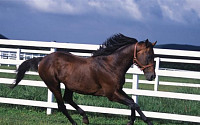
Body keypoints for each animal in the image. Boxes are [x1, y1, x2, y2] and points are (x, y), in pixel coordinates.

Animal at [10, 33, 156, 124]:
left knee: (68, 99)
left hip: (69, 86)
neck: (111, 65)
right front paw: (147, 121)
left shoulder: (118, 90)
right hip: (53, 84)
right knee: (61, 105)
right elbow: (133, 103)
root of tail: (43, 59)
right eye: (149, 56)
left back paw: (85, 118)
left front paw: (130, 121)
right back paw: (76, 122)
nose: (152, 76)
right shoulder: (111, 94)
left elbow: (132, 102)